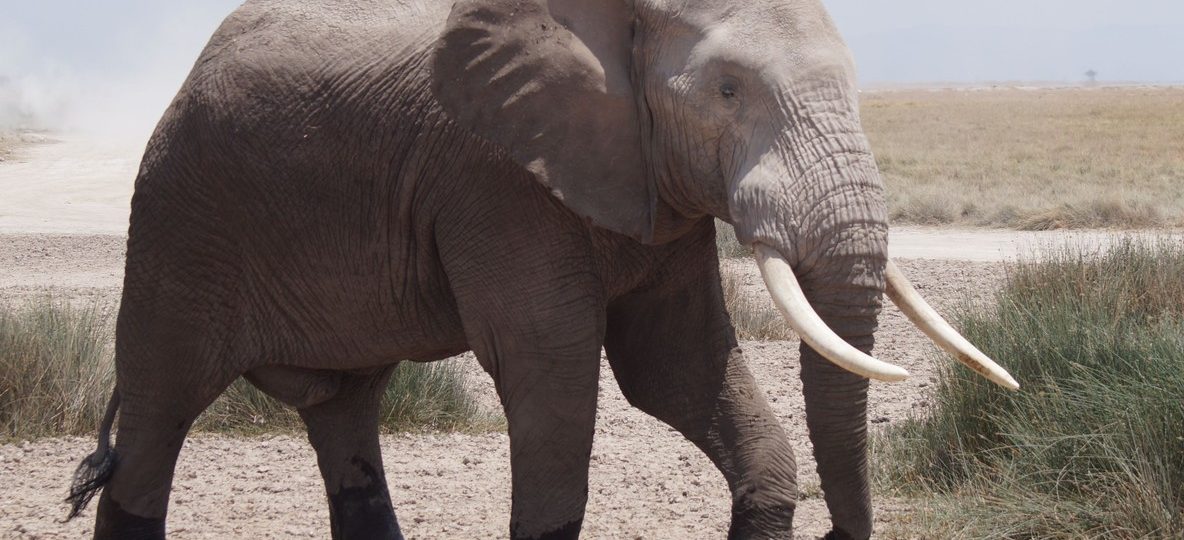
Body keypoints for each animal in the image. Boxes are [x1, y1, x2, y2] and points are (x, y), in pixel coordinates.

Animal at [65, 0, 1018, 538]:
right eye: (728, 92)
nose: (833, 538)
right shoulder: (495, 179)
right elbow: (551, 369)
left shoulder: (651, 188)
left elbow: (675, 367)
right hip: (181, 223)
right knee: (154, 424)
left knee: (345, 415)